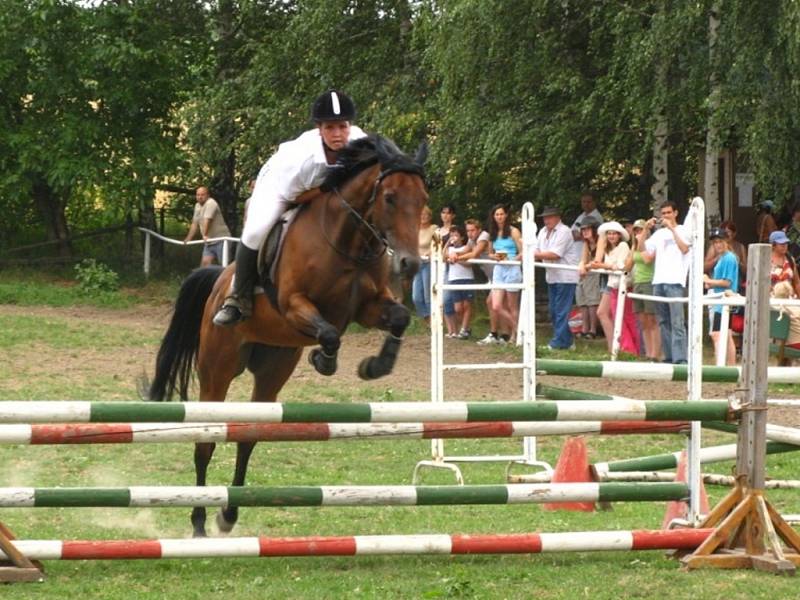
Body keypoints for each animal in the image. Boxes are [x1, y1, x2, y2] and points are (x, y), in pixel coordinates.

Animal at [147, 134, 428, 536]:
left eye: (422, 199)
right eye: (389, 197)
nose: (410, 263)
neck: (348, 240)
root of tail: (218, 280)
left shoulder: (369, 306)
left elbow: (400, 317)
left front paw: (376, 365)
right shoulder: (296, 305)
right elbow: (330, 333)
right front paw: (324, 359)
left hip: (272, 370)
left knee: (248, 439)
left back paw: (228, 515)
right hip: (216, 369)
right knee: (206, 442)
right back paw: (199, 522)